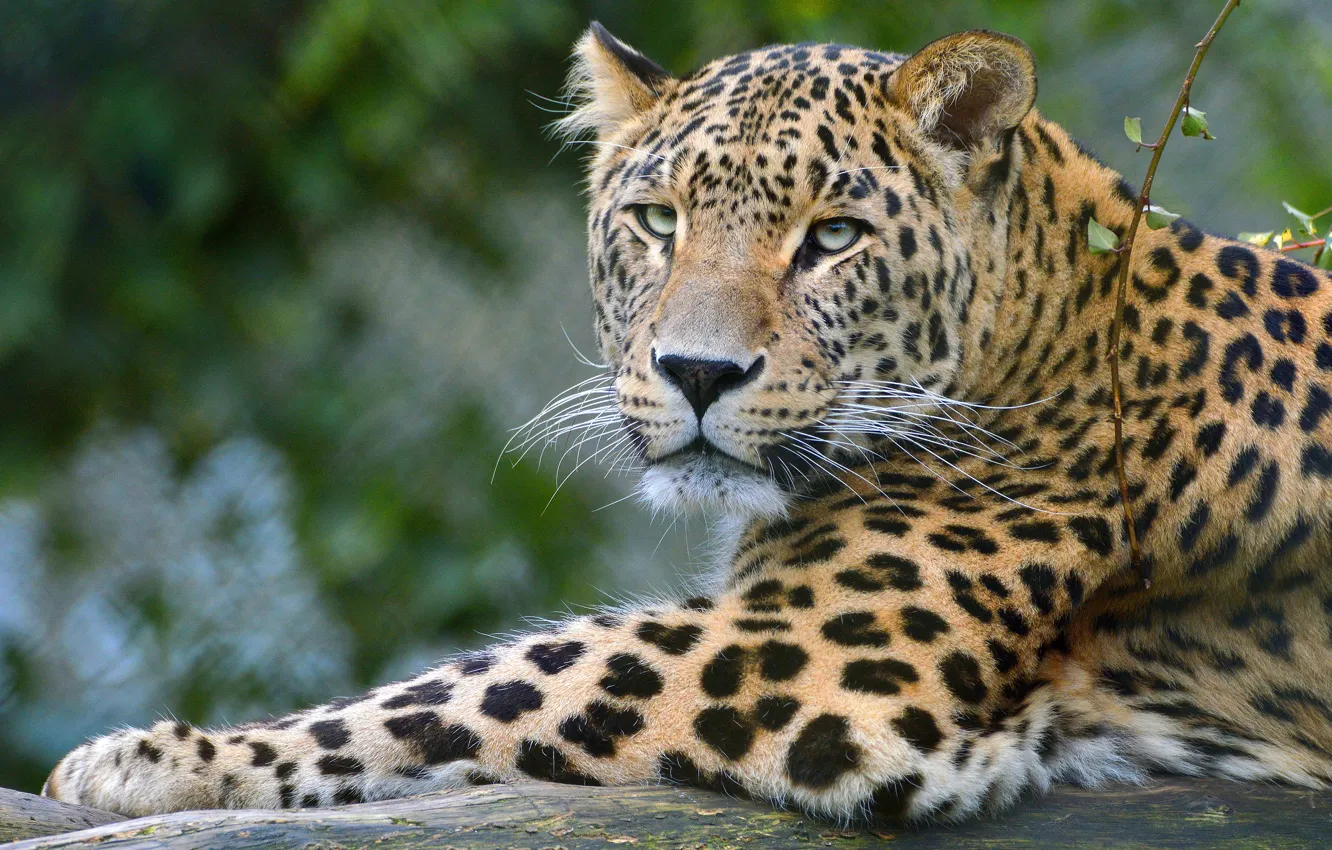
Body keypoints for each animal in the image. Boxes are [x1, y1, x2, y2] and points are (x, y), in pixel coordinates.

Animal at [43, 24, 1332, 825]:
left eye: (832, 238)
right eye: (658, 221)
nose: (698, 372)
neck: (1052, 326)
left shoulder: (809, 657)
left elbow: (482, 683)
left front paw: (160, 759)